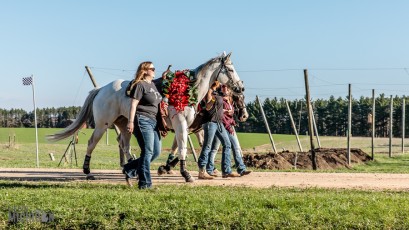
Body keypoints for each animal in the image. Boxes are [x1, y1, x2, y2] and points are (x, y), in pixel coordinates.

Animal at [47, 52, 245, 181]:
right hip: (103, 124)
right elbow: (183, 148)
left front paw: (170, 168)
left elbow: (180, 147)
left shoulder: (186, 126)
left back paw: (130, 167)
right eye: (230, 69)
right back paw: (88, 170)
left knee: (124, 145)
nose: (240, 87)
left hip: (125, 124)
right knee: (92, 143)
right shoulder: (181, 123)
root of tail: (101, 89)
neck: (187, 91)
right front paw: (186, 173)